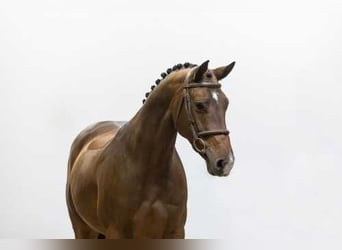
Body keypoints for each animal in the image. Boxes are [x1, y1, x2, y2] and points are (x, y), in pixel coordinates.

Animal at [65, 60, 235, 238]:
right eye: (200, 105)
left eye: (226, 104)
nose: (226, 162)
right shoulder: (117, 233)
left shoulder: (176, 232)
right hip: (83, 229)